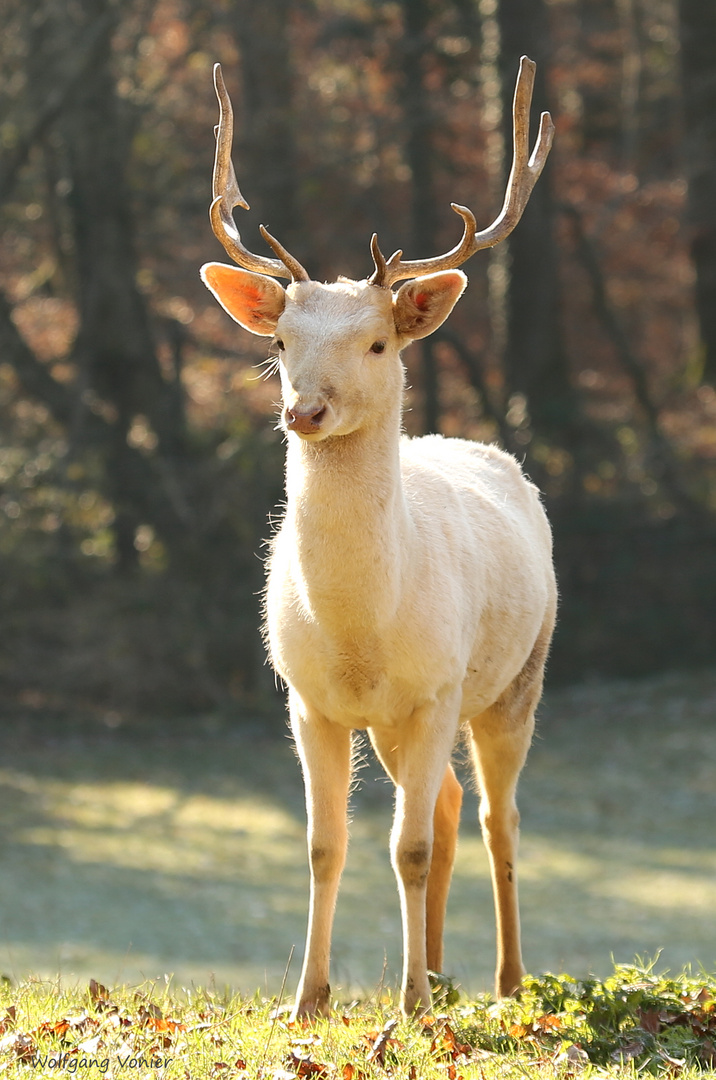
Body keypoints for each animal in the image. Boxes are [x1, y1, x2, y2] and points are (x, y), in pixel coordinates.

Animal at [201, 59, 561, 1019]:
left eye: (375, 342)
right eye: (281, 338)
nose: (304, 409)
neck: (362, 632)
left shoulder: (435, 687)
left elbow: (407, 849)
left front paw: (409, 1010)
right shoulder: (308, 698)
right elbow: (327, 845)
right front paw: (309, 999)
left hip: (517, 676)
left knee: (494, 816)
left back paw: (505, 982)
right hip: (409, 727)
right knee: (443, 806)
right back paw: (437, 968)